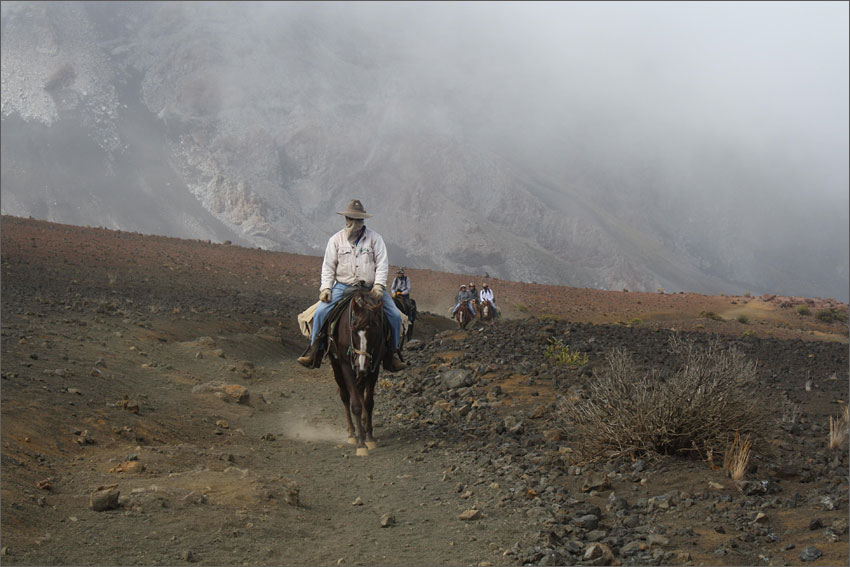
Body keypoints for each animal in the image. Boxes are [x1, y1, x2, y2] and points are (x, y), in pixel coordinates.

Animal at [328, 288, 388, 458]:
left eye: (375, 332)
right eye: (353, 329)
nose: (361, 365)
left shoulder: (374, 367)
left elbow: (368, 403)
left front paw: (369, 437)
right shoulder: (346, 366)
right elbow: (355, 404)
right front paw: (361, 444)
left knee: (360, 391)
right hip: (336, 365)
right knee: (345, 396)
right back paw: (352, 434)